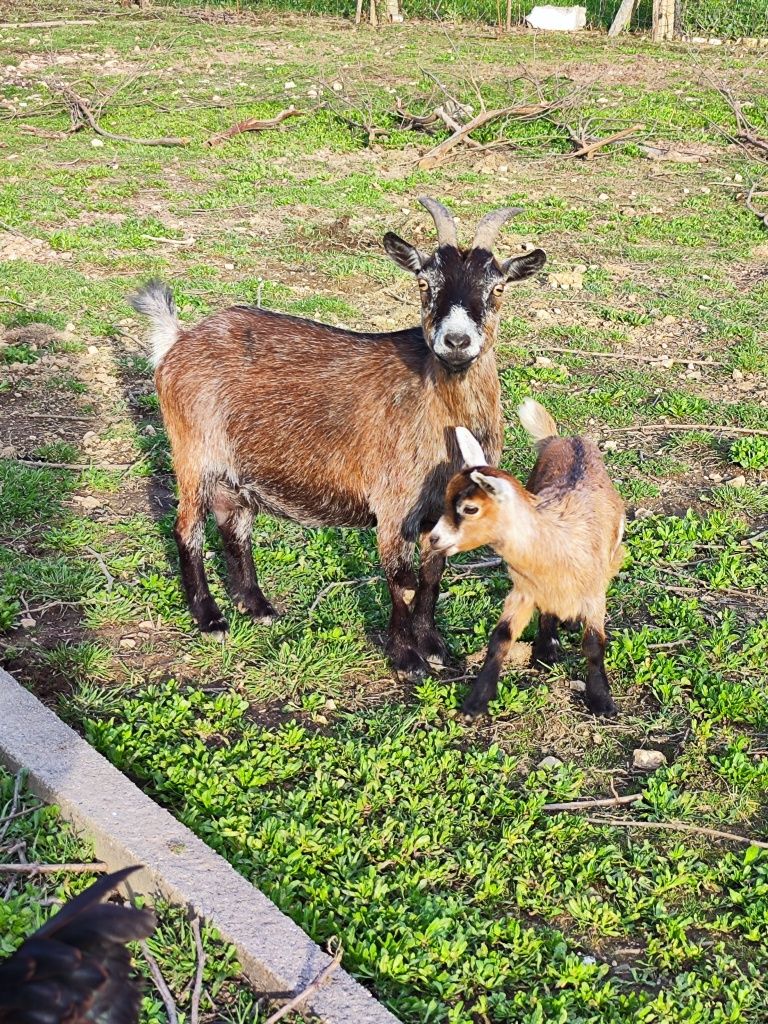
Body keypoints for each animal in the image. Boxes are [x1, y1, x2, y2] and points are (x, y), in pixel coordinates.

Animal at [129, 198, 548, 679]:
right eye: (424, 283)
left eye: (497, 288)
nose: (456, 341)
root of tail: (177, 341)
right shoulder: (393, 508)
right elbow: (402, 581)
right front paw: (407, 659)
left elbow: (433, 576)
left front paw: (435, 647)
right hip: (194, 454)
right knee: (187, 528)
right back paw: (210, 617)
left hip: (236, 471)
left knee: (234, 525)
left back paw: (256, 606)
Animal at [430, 399, 626, 720]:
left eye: (470, 509)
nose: (434, 539)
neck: (554, 542)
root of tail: (563, 438)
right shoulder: (523, 591)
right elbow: (501, 638)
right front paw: (475, 704)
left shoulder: (594, 593)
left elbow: (594, 644)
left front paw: (602, 700)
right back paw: (546, 648)